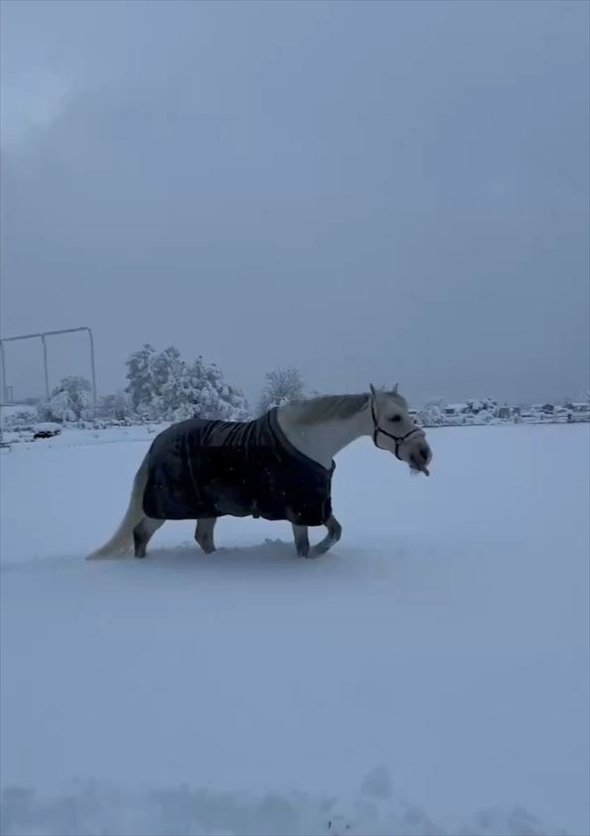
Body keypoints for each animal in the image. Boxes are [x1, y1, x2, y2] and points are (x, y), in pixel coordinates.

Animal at [86, 386, 430, 560]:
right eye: (395, 417)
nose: (424, 453)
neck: (310, 441)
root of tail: (159, 440)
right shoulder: (300, 508)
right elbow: (305, 547)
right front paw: (313, 557)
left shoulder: (315, 503)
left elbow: (335, 532)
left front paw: (320, 554)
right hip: (165, 508)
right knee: (141, 534)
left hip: (208, 508)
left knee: (202, 537)